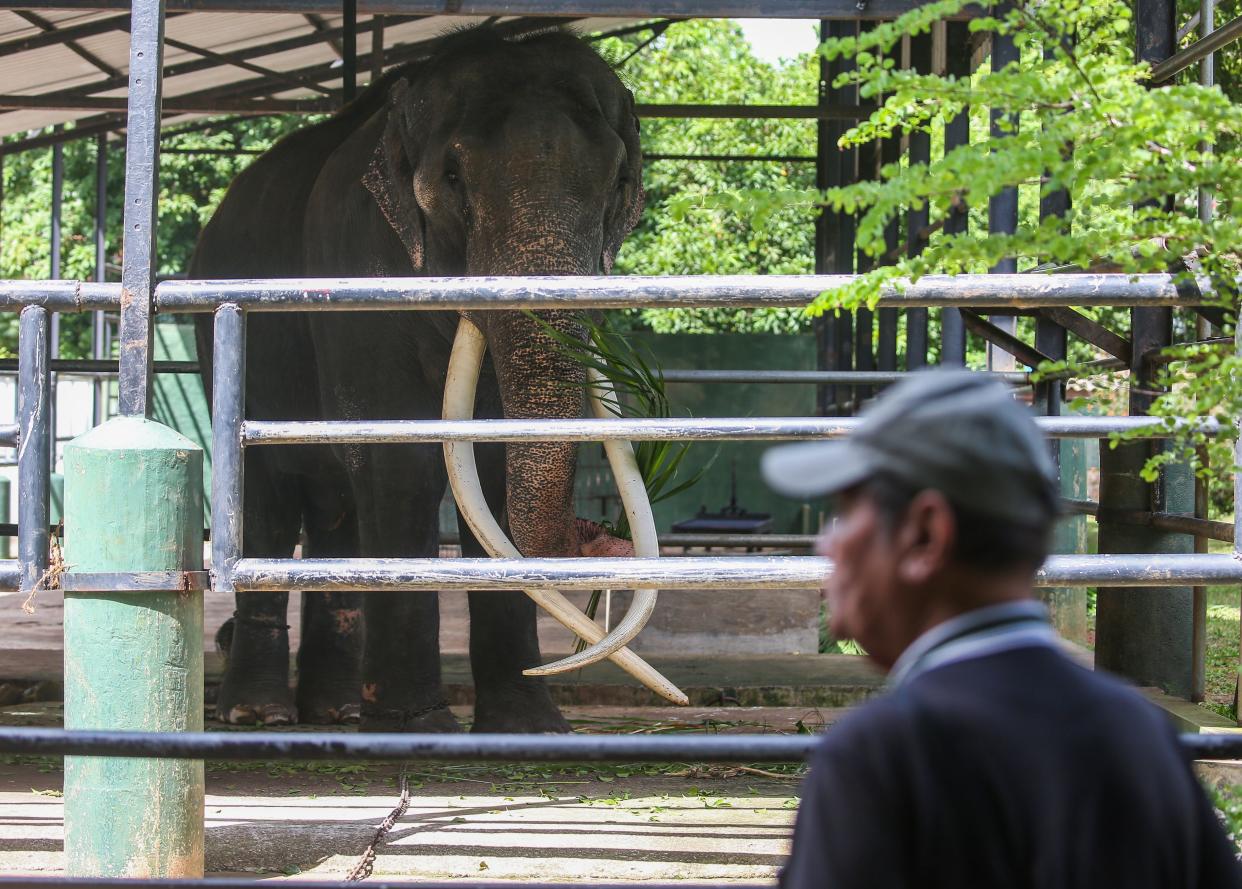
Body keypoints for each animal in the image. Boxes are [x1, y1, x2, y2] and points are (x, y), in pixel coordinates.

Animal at [187, 24, 665, 735]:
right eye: (453, 176)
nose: (596, 537)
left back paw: (335, 710)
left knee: (336, 509)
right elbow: (398, 458)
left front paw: (528, 728)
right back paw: (258, 713)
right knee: (269, 498)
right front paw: (416, 727)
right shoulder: (355, 272)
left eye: (619, 180)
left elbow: (488, 466)